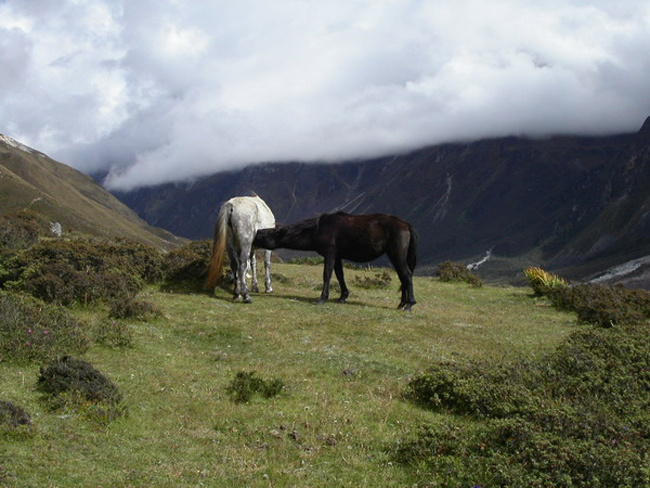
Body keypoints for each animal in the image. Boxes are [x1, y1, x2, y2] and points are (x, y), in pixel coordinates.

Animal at [251, 212, 418, 310]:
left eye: (271, 233)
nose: (256, 232)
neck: (316, 229)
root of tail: (406, 225)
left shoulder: (330, 254)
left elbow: (327, 275)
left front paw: (322, 298)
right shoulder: (337, 256)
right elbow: (340, 276)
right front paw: (343, 296)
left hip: (396, 254)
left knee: (407, 275)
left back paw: (409, 304)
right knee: (403, 277)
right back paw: (401, 303)